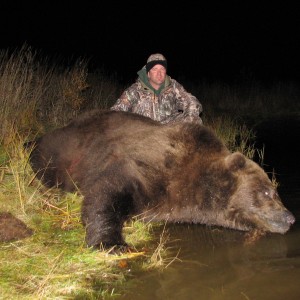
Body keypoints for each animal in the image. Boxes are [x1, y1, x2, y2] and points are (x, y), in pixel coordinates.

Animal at [27, 109, 296, 250]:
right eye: (268, 191)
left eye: (275, 191)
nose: (290, 217)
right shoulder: (149, 164)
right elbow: (107, 191)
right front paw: (112, 243)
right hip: (58, 153)